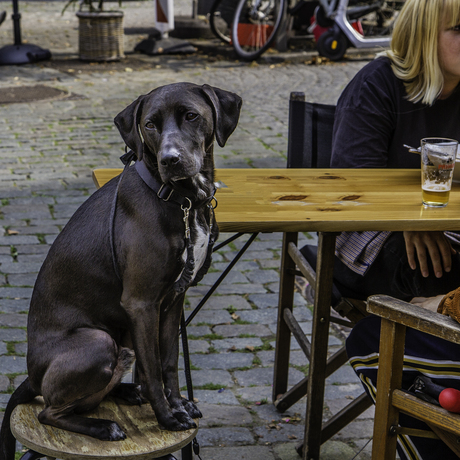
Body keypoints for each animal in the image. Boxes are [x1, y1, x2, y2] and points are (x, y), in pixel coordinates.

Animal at [0, 83, 243, 460]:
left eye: (191, 115)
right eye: (150, 124)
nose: (171, 160)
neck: (181, 199)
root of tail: (31, 376)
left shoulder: (173, 300)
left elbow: (168, 363)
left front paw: (179, 405)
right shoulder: (141, 303)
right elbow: (154, 369)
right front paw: (168, 418)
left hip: (124, 339)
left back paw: (128, 393)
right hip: (100, 341)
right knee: (49, 411)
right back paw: (103, 426)